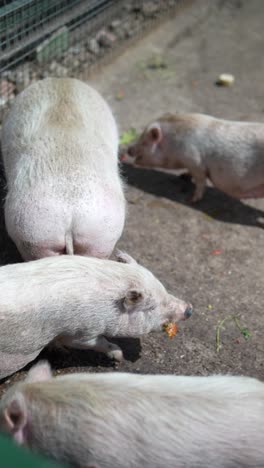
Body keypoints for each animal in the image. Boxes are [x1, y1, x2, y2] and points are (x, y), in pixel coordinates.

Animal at [0, 250, 192, 378]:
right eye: (151, 307)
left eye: (163, 289)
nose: (189, 309)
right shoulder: (80, 332)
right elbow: (98, 342)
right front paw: (118, 358)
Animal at [122, 114, 264, 202]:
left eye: (144, 142)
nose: (128, 149)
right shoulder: (190, 164)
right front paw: (182, 176)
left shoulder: (195, 161)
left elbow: (201, 181)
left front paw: (190, 200)